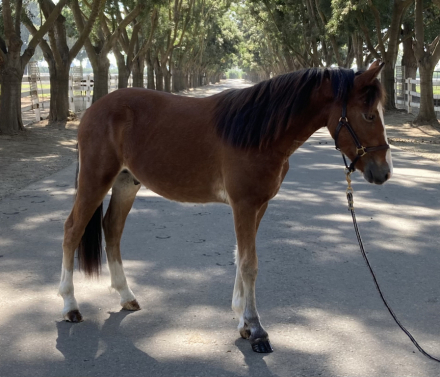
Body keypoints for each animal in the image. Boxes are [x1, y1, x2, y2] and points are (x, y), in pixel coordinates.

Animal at [58, 61, 392, 352]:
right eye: (369, 116)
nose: (385, 172)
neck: (258, 132)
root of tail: (95, 108)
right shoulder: (244, 204)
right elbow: (249, 264)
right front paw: (256, 330)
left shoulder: (258, 205)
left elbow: (241, 257)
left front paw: (243, 323)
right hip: (95, 180)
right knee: (72, 230)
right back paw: (70, 305)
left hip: (126, 182)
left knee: (112, 229)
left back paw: (126, 296)